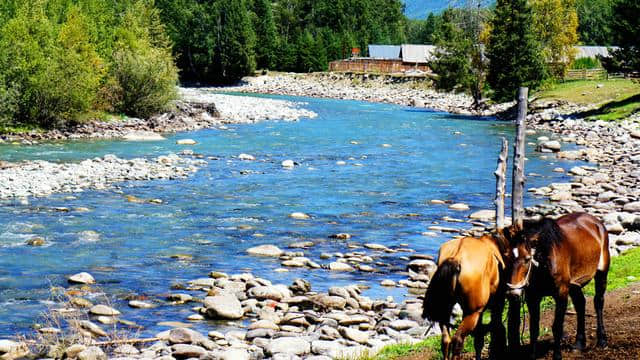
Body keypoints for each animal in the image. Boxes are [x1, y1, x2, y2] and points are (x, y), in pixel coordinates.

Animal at [504, 212, 608, 358]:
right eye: (507, 257)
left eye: (527, 259)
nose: (513, 292)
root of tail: (596, 222)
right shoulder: (533, 297)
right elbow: (534, 328)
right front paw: (533, 355)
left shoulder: (561, 292)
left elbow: (557, 327)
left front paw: (557, 355)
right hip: (574, 286)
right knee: (580, 304)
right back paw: (579, 343)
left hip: (602, 272)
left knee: (598, 302)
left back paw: (602, 340)